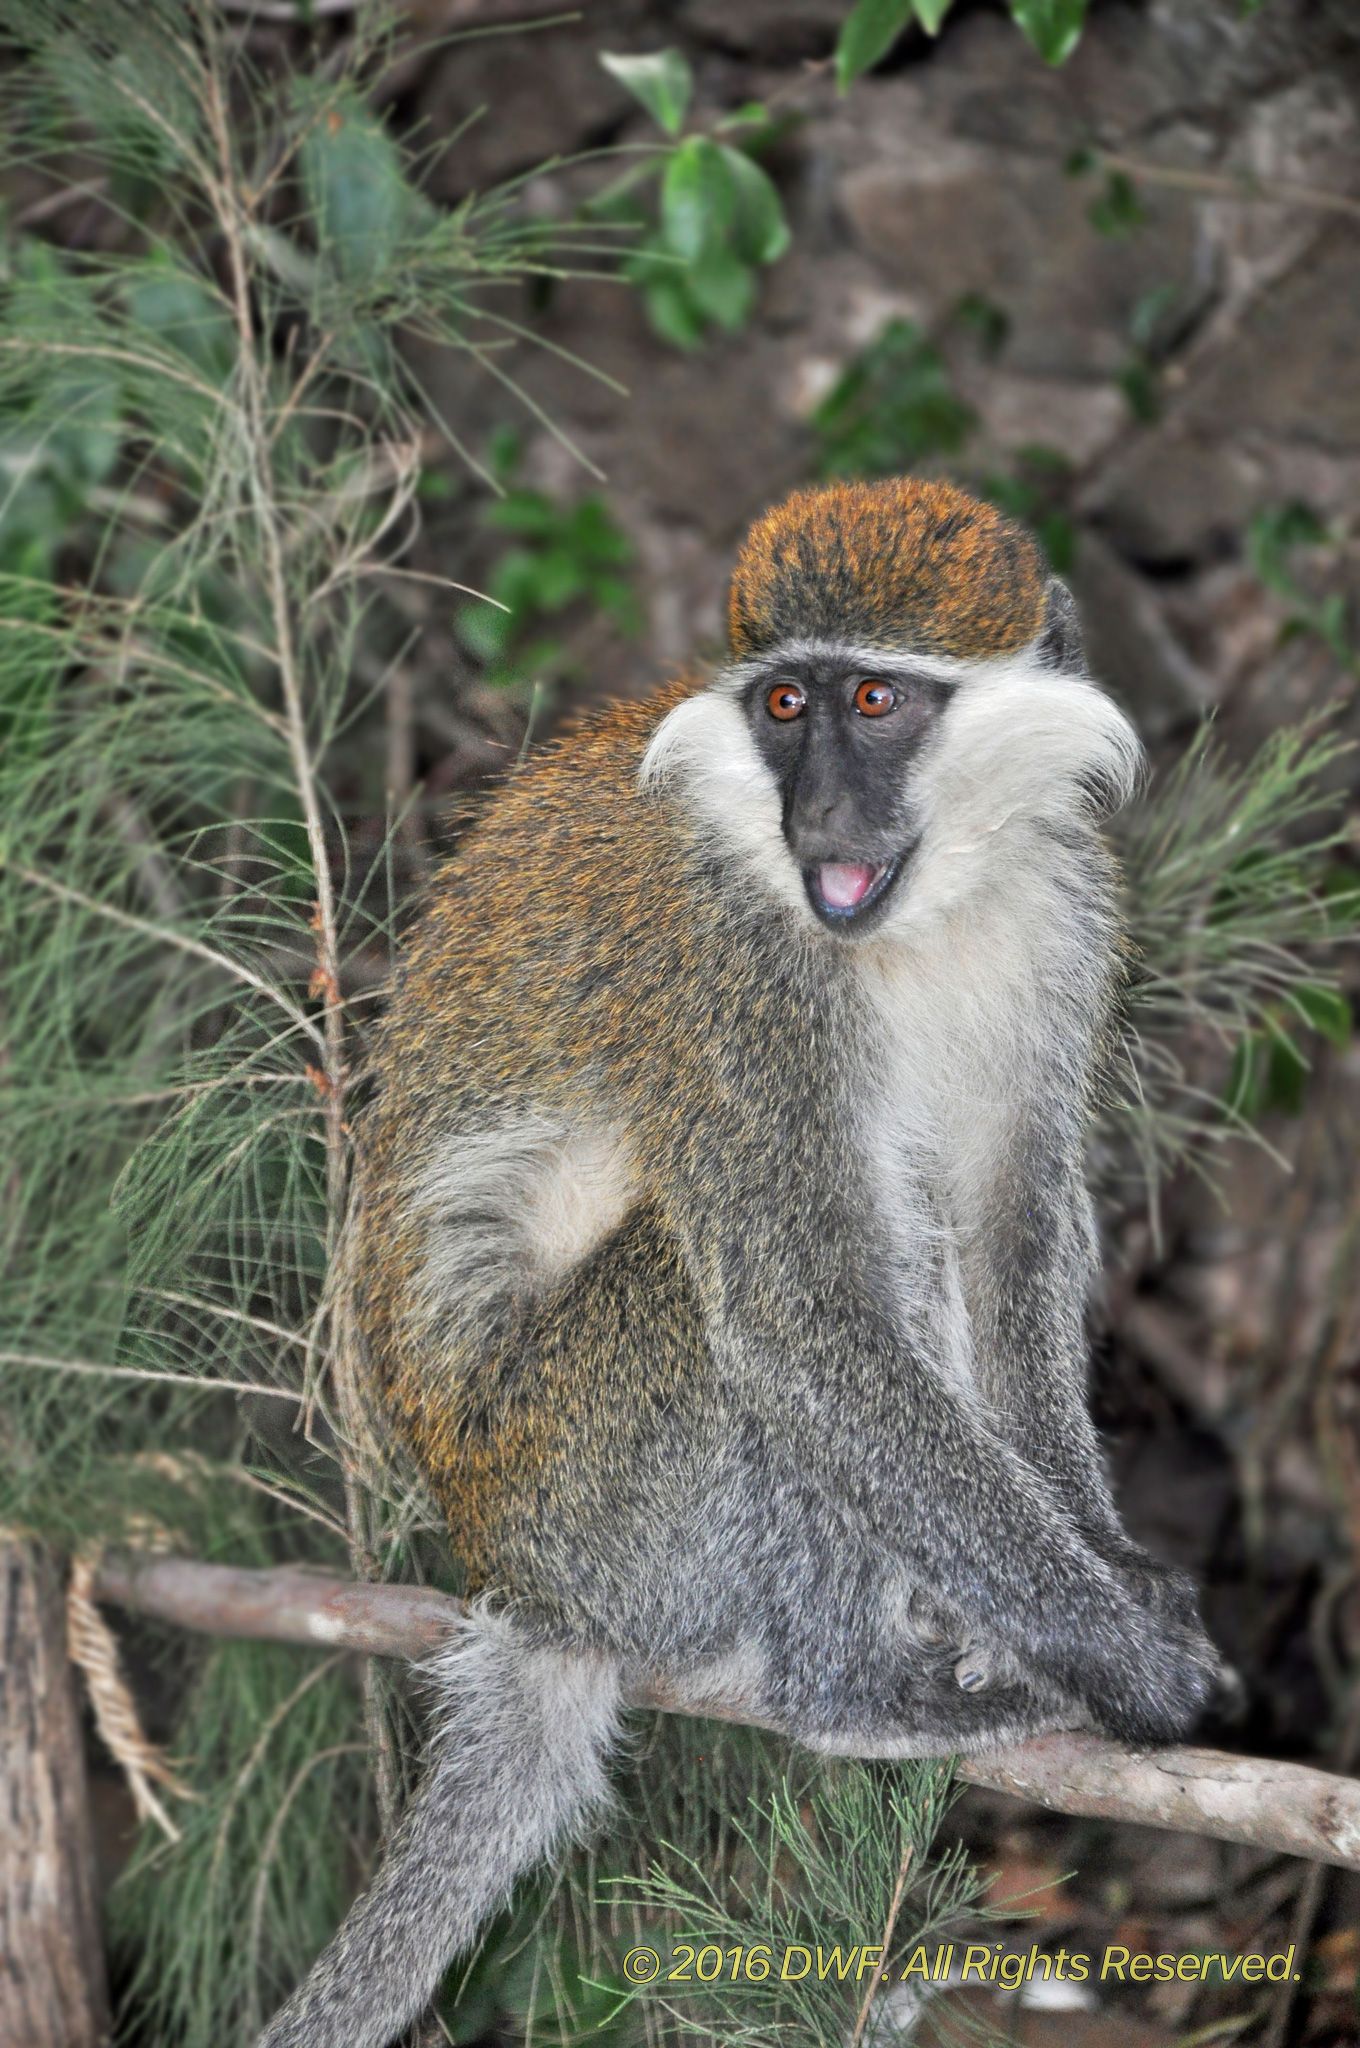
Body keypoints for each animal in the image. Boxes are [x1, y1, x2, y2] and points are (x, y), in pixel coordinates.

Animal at [260, 479, 1228, 2048]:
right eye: (786, 703)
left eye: (874, 700)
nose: (820, 810)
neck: (918, 912)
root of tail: (520, 1584)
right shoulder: (738, 970)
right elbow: (797, 1319)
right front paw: (1119, 1656)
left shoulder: (1063, 908)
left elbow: (1013, 1225)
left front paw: (1112, 1575)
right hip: (598, 1498)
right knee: (751, 1302)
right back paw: (851, 1691)